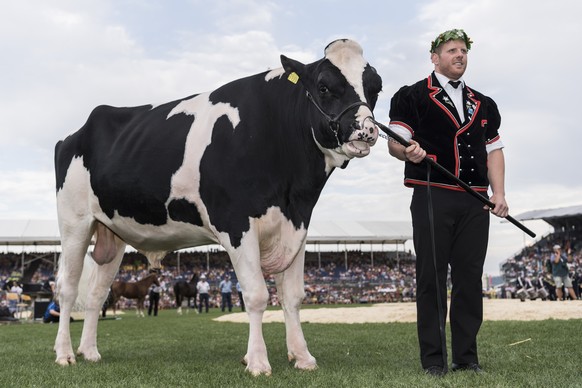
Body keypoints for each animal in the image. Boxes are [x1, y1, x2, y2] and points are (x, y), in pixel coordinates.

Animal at [53, 38, 384, 374]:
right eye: (323, 86)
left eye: (376, 88)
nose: (367, 129)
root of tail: (74, 134)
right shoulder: (236, 223)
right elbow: (256, 294)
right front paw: (258, 361)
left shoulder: (295, 228)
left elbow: (293, 296)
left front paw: (302, 357)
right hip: (74, 222)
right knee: (67, 289)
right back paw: (64, 354)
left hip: (112, 233)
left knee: (97, 294)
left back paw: (89, 351)